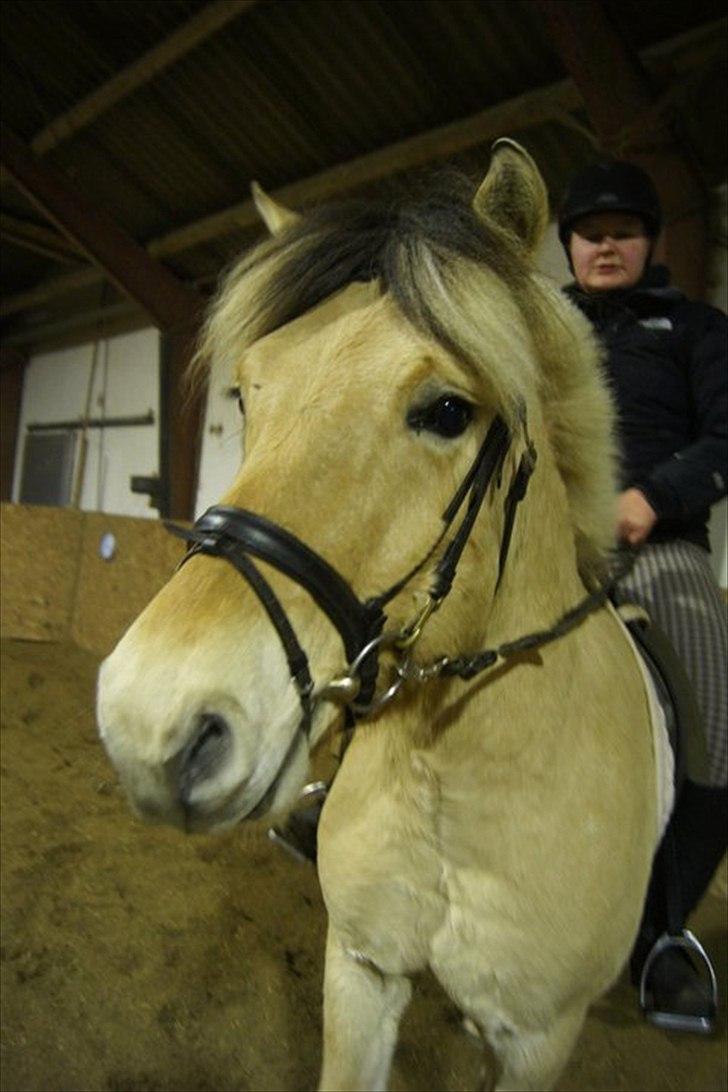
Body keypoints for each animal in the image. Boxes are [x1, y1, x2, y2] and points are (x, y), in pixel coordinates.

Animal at [96, 143, 667, 1092]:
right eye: (246, 395)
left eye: (449, 411)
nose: (150, 723)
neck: (456, 775)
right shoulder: (361, 968)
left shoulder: (538, 1039)